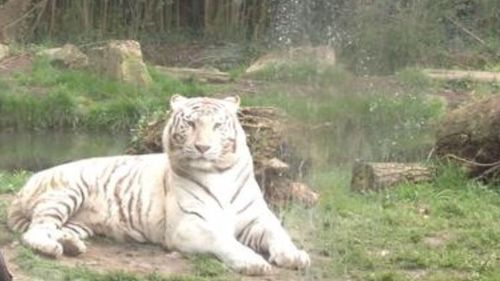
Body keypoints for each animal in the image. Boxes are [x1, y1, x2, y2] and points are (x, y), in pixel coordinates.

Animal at [7, 95, 310, 274]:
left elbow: (279, 234)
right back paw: (53, 249)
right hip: (66, 192)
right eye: (190, 124)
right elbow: (222, 239)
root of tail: (28, 182)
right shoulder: (189, 225)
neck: (219, 173)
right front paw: (252, 262)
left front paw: (295, 256)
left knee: (53, 229)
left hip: (79, 222)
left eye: (218, 125)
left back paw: (71, 244)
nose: (202, 147)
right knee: (36, 231)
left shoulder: (257, 218)